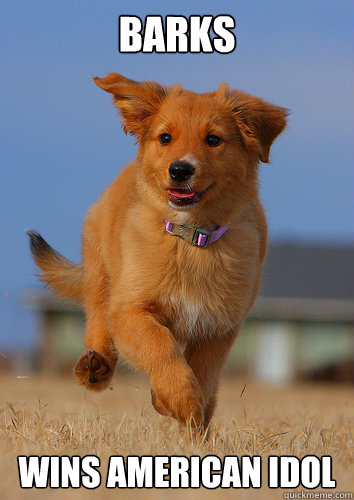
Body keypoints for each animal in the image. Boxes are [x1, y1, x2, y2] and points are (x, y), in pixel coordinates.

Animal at [27, 72, 288, 432]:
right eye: (165, 138)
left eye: (213, 140)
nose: (180, 170)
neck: (191, 239)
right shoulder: (131, 310)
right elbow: (160, 347)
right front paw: (178, 398)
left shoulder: (219, 327)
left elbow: (203, 375)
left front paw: (183, 412)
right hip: (101, 272)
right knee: (97, 317)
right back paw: (95, 366)